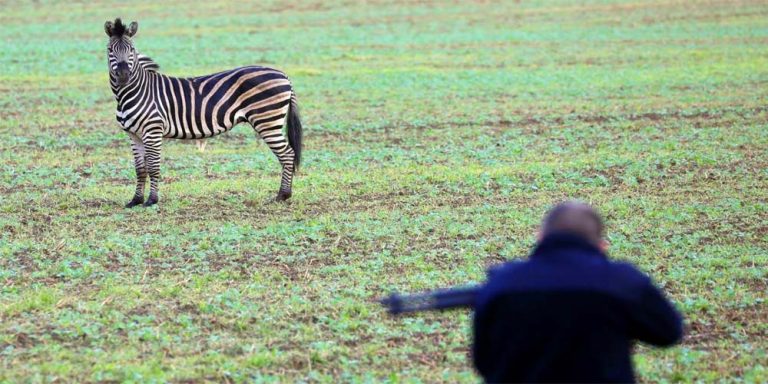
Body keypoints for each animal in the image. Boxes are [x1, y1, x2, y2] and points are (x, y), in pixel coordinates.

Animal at [105, 18, 304, 207]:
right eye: (110, 50)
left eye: (131, 49)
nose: (124, 75)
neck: (135, 91)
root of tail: (283, 75)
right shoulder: (134, 135)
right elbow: (140, 169)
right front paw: (136, 200)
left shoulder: (153, 130)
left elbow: (153, 167)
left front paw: (152, 200)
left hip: (267, 120)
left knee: (287, 154)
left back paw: (283, 195)